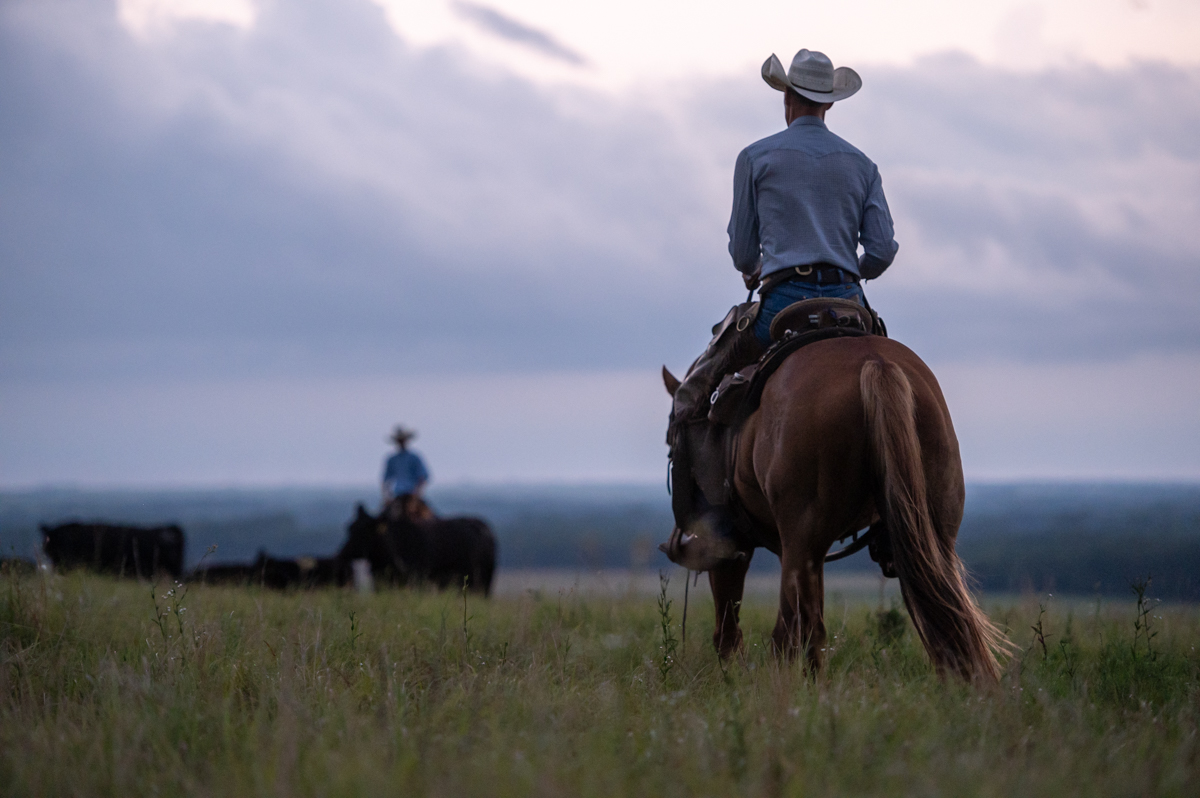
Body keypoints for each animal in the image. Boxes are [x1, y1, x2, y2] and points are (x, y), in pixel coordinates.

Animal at [662, 333, 1008, 681]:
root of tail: (877, 362)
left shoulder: (735, 547)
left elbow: (729, 629)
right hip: (932, 532)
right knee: (947, 622)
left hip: (800, 543)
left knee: (795, 632)